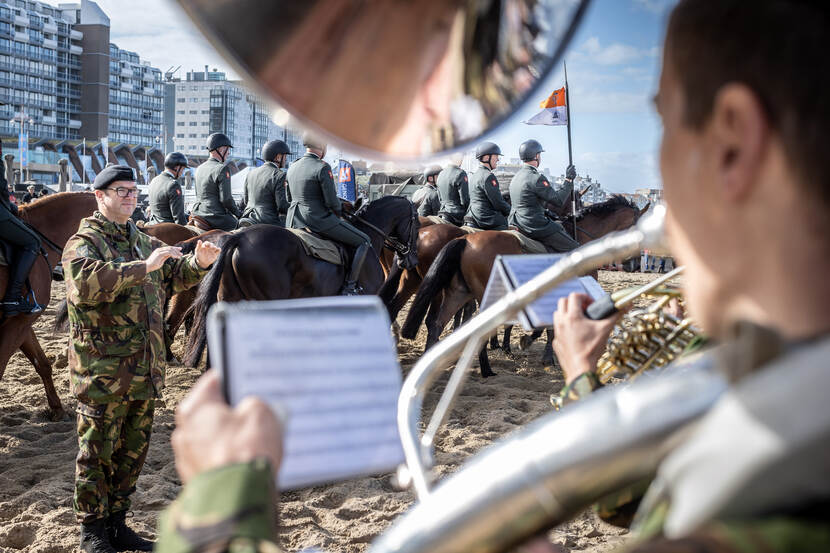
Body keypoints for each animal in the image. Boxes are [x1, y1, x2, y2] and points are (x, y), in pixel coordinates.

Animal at [402, 195, 648, 380]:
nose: (634, 265)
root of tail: (465, 240)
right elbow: (547, 327)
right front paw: (535, 347)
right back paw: (486, 369)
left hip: (459, 293)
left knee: (436, 323)